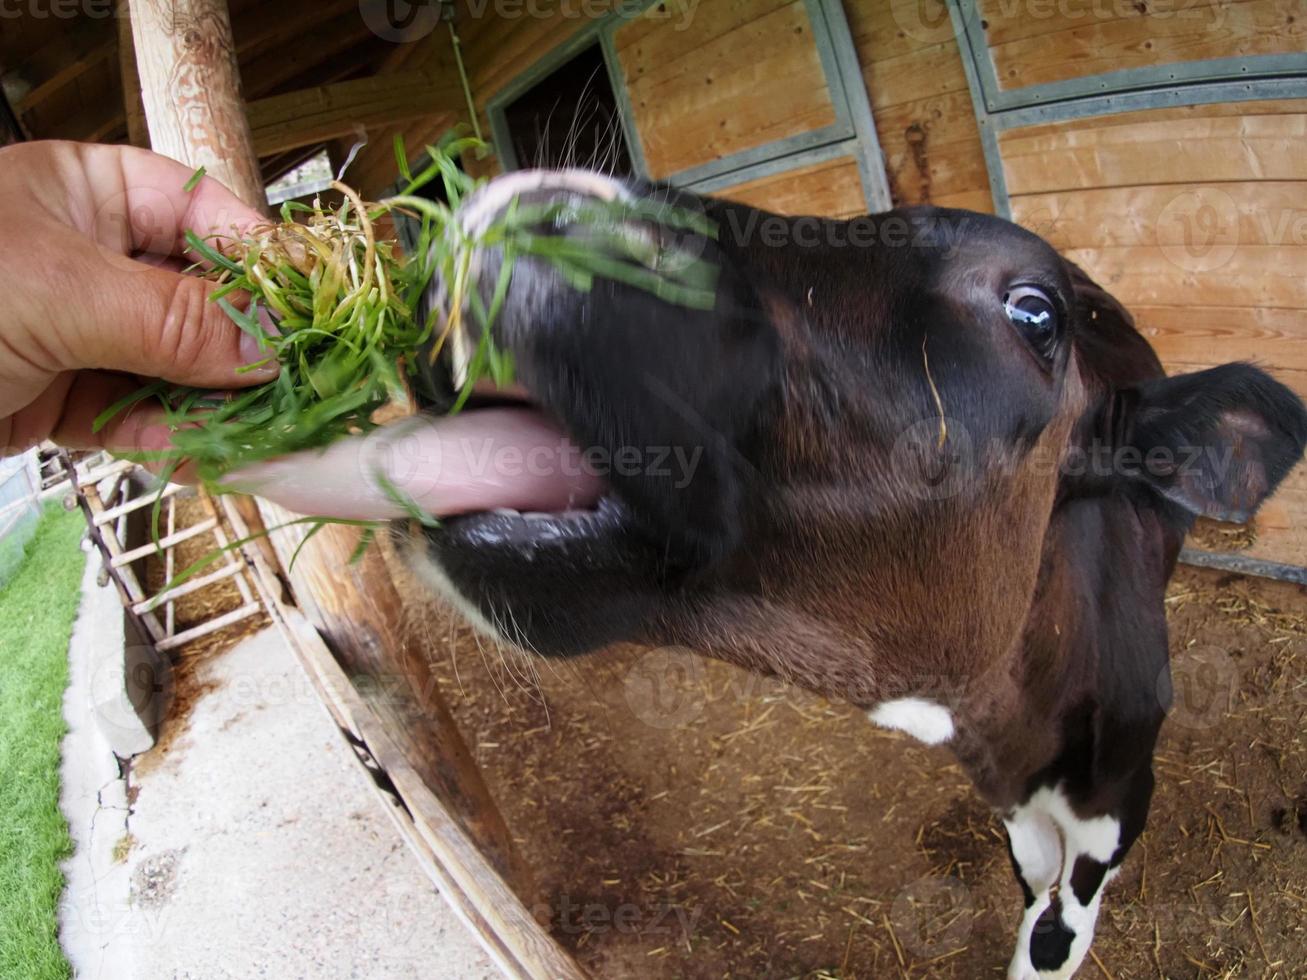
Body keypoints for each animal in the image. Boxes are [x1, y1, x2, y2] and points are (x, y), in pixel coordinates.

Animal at [399, 172, 1307, 977]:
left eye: (1032, 311)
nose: (535, 200)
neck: (1013, 738)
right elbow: (1029, 878)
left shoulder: (1117, 802)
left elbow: (1054, 931)